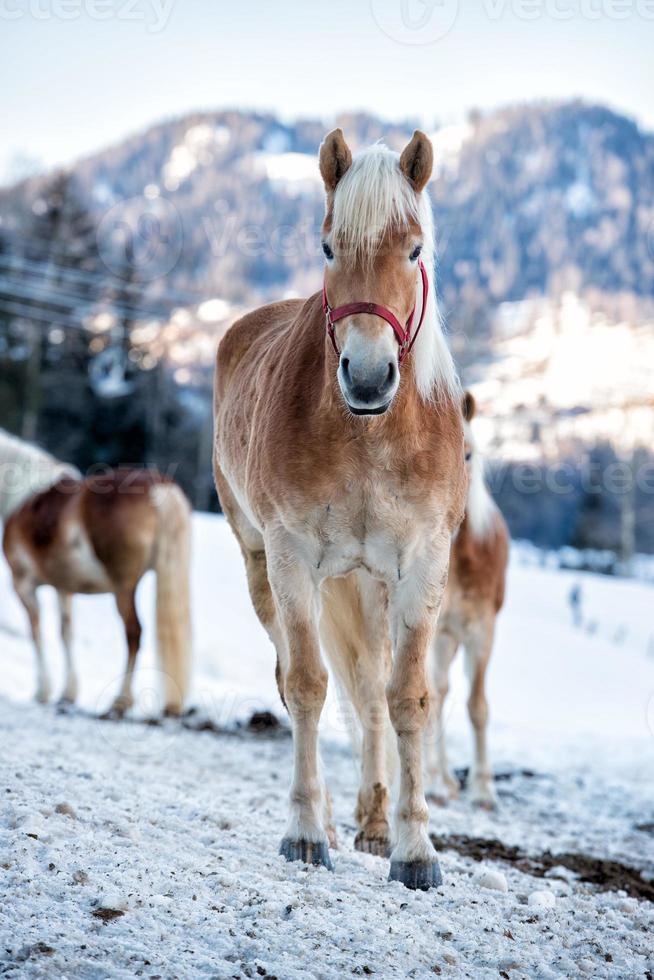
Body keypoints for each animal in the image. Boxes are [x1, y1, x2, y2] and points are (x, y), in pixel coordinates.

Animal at [1, 432, 192, 716]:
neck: (23, 498)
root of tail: (159, 485)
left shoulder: (23, 584)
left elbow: (36, 633)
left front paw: (43, 691)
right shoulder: (63, 587)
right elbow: (66, 633)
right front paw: (67, 694)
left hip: (124, 588)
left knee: (133, 633)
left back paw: (120, 701)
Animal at [214, 130, 466, 888]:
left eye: (414, 249)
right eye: (329, 247)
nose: (369, 375)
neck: (369, 436)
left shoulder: (422, 566)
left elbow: (406, 698)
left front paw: (414, 847)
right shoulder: (291, 557)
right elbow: (304, 685)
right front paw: (305, 834)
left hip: (369, 586)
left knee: (371, 691)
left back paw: (375, 822)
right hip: (263, 563)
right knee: (309, 680)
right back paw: (329, 818)